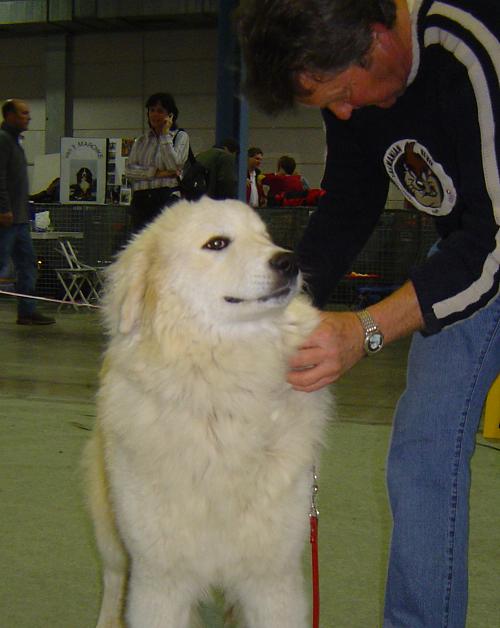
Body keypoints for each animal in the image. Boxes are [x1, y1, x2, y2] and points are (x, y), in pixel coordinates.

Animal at [83, 197, 330, 628]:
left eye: (265, 236)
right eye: (217, 243)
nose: (289, 261)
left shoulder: (272, 578)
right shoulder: (160, 579)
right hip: (110, 530)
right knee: (113, 579)